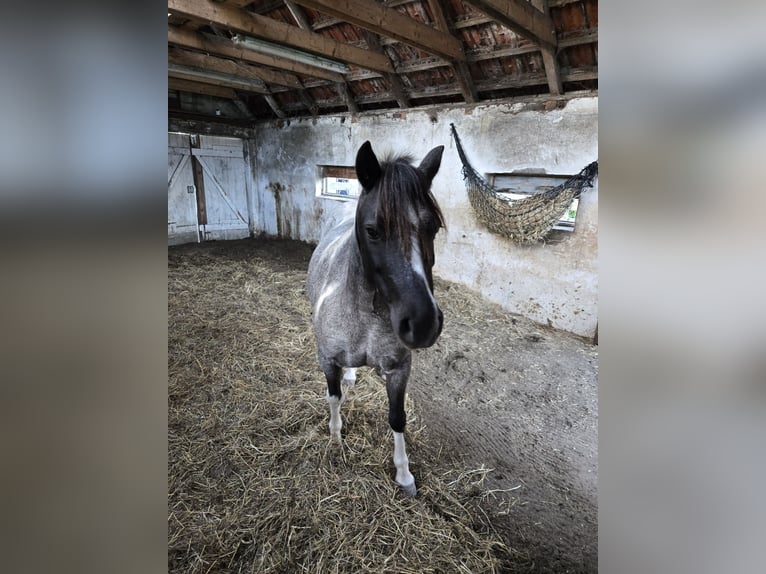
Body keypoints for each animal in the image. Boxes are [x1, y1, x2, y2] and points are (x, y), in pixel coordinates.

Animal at [306, 141, 446, 496]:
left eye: (433, 227)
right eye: (373, 231)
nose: (423, 324)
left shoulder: (399, 370)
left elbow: (397, 418)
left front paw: (404, 475)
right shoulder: (327, 360)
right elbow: (333, 397)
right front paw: (336, 440)